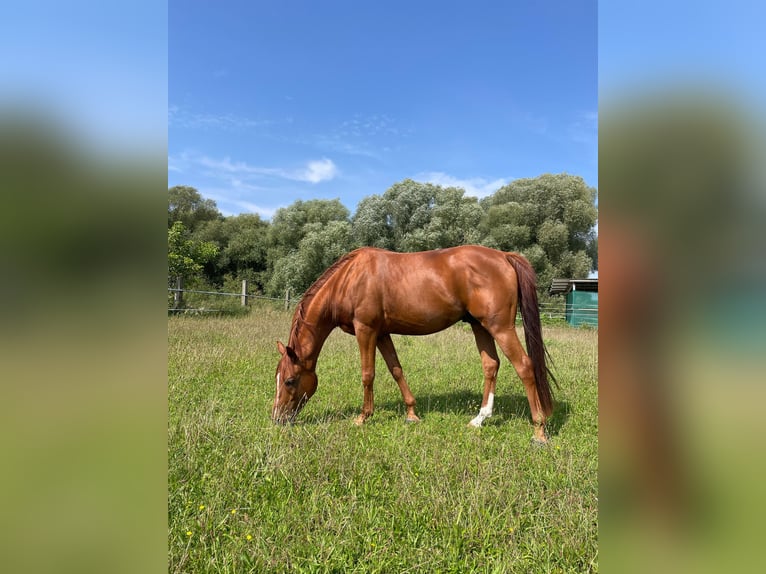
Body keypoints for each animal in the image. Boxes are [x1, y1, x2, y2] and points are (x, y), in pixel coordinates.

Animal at [276, 245, 560, 444]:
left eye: (290, 380)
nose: (277, 418)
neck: (349, 279)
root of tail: (504, 256)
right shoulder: (382, 334)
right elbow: (396, 370)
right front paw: (411, 413)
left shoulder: (365, 330)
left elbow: (368, 374)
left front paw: (363, 416)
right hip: (480, 326)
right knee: (491, 365)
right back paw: (480, 419)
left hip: (500, 327)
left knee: (524, 366)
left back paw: (539, 431)